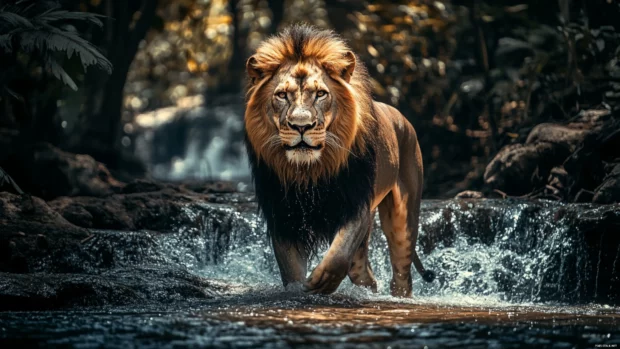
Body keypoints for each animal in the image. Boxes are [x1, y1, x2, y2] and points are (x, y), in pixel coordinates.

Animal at [245, 24, 434, 296]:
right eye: (281, 95)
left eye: (320, 94)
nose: (301, 125)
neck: (310, 171)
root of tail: (403, 118)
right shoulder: (282, 213)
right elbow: (291, 269)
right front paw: (299, 289)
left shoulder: (357, 203)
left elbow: (339, 254)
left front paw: (323, 281)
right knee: (364, 274)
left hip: (403, 217)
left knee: (401, 274)